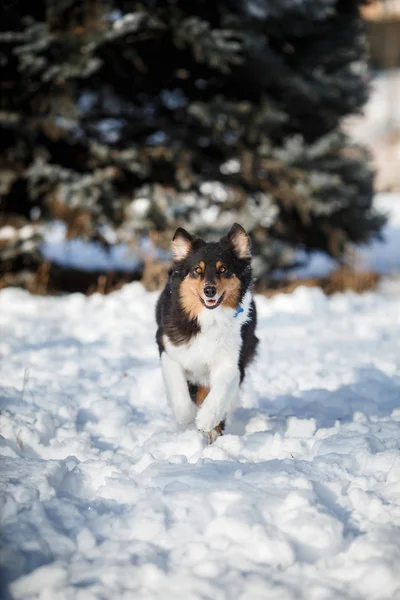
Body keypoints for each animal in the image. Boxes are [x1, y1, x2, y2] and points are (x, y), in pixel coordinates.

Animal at [155, 223, 258, 442]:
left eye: (223, 269)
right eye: (197, 270)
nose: (209, 290)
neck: (209, 319)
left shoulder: (231, 362)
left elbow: (220, 392)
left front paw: (206, 420)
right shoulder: (169, 351)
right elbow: (180, 393)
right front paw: (187, 416)